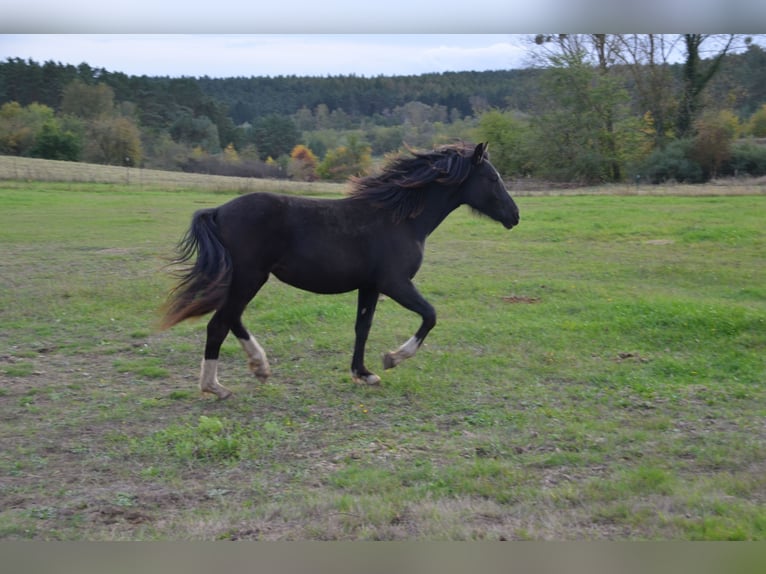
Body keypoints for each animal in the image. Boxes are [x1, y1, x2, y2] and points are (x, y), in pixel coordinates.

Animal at [160, 142, 520, 399]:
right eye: (492, 178)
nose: (514, 216)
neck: (400, 219)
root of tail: (218, 211)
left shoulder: (370, 286)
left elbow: (363, 327)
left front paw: (363, 373)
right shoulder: (395, 282)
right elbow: (429, 315)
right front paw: (391, 358)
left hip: (247, 280)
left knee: (230, 318)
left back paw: (259, 368)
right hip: (249, 278)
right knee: (220, 323)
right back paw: (216, 386)